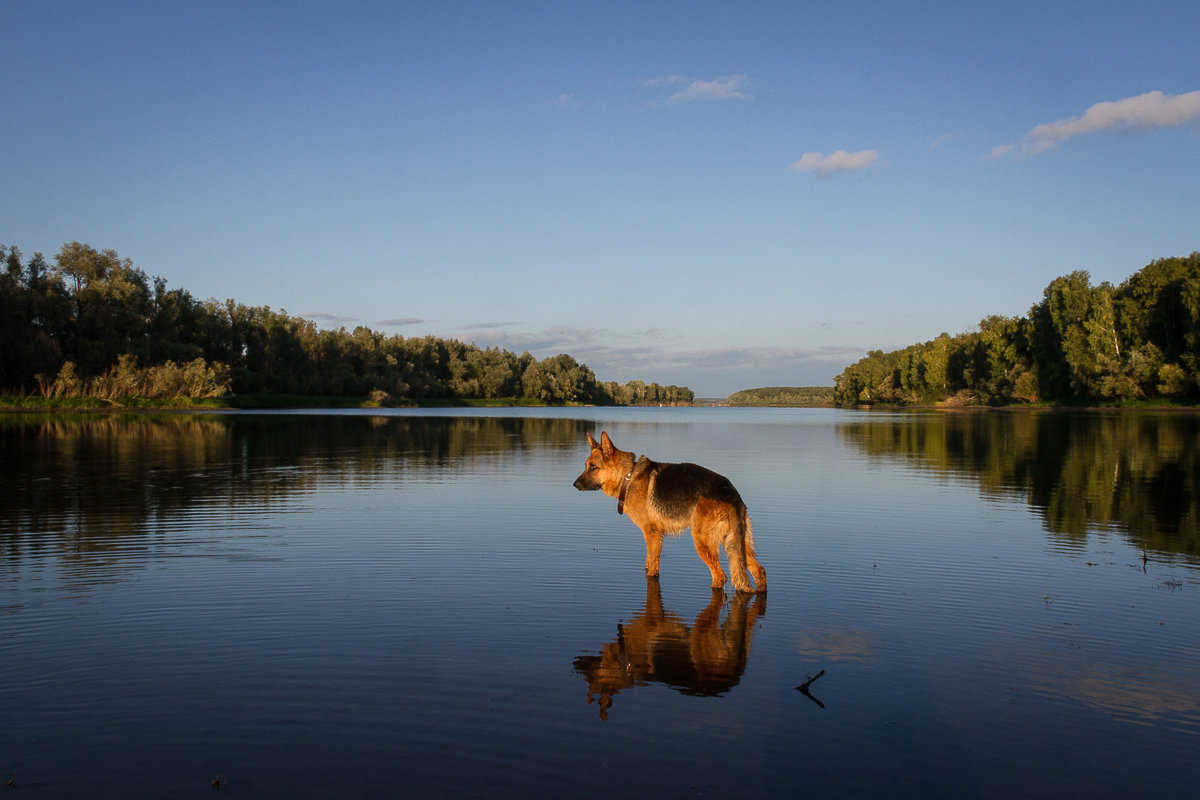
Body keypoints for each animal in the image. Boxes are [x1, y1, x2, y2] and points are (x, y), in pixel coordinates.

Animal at [566, 431, 763, 594]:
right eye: (586, 465)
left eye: (593, 467)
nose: (574, 485)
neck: (628, 478)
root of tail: (732, 494)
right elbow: (649, 563)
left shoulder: (651, 533)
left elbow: (652, 568)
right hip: (735, 544)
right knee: (759, 571)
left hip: (703, 542)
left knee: (720, 576)